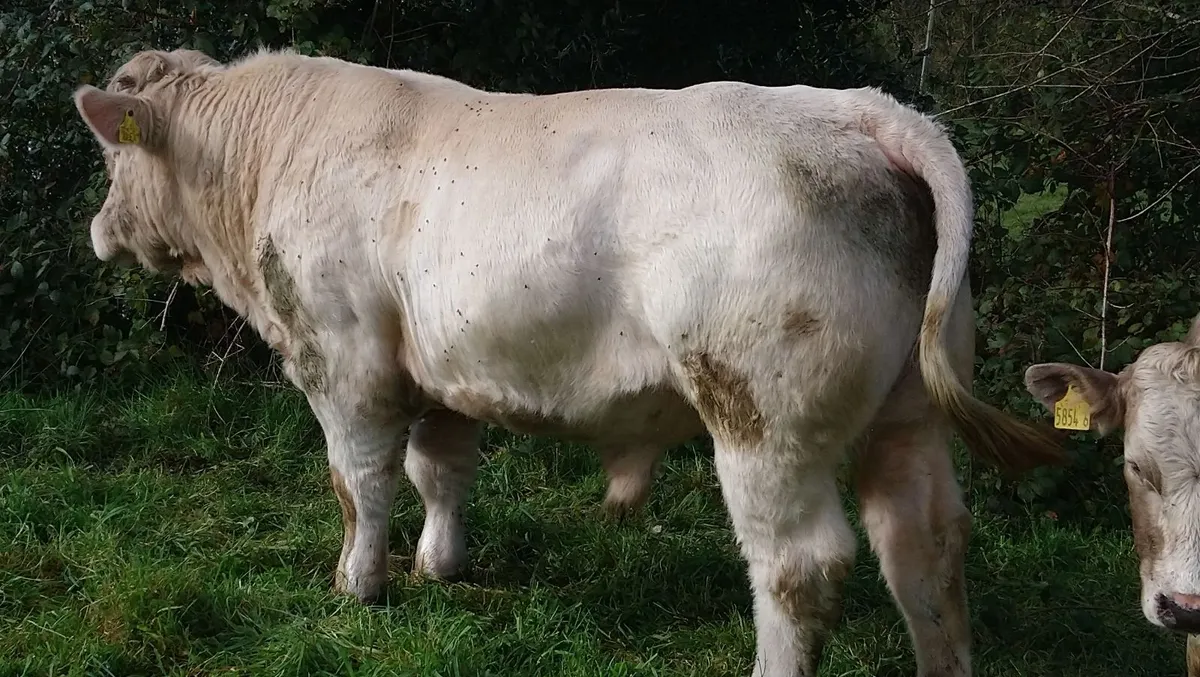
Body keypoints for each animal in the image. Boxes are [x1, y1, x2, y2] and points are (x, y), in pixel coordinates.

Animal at [72, 47, 1064, 677]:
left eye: (113, 154)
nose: (97, 228)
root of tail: (861, 109)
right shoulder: (441, 367)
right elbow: (440, 470)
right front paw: (441, 565)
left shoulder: (343, 358)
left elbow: (360, 482)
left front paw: (358, 584)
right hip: (909, 411)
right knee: (923, 544)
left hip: (764, 418)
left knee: (801, 567)